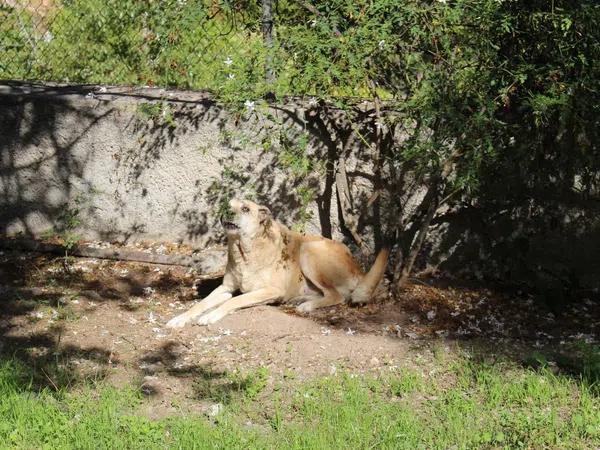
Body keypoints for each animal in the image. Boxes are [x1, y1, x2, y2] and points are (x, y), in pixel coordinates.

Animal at [165, 197, 390, 326]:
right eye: (227, 205)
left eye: (245, 209)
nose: (225, 212)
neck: (244, 251)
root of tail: (358, 268)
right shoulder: (226, 287)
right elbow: (201, 303)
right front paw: (180, 318)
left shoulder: (270, 290)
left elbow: (234, 300)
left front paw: (211, 316)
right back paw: (302, 299)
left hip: (308, 250)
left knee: (338, 296)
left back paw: (307, 306)